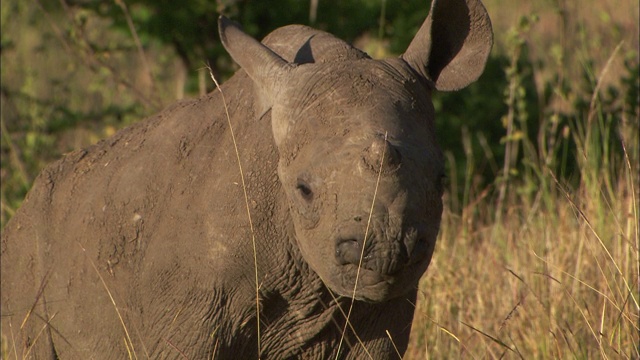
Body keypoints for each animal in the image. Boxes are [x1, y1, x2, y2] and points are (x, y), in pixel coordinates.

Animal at [0, 0, 492, 356]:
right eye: (303, 190)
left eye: (441, 179)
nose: (386, 252)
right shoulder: (185, 316)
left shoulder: (383, 312)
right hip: (26, 262)